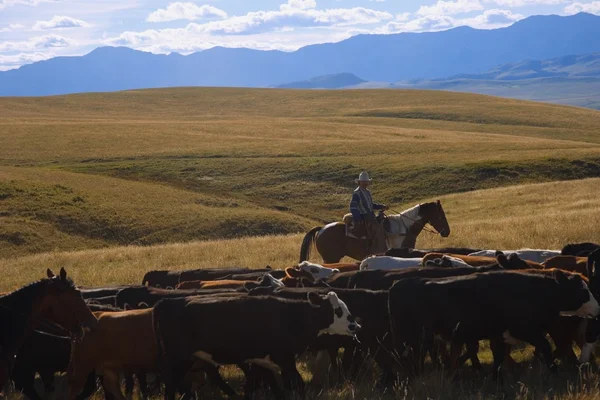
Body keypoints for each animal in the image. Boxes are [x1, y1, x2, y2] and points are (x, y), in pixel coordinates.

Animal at [155, 292, 360, 398]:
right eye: (338, 310)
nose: (355, 326)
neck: (291, 315)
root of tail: (166, 302)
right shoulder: (284, 358)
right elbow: (297, 383)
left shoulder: (262, 361)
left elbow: (263, 386)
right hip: (179, 358)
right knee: (171, 384)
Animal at [386, 268, 596, 378]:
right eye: (583, 291)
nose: (597, 308)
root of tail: (396, 285)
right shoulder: (524, 329)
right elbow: (544, 346)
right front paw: (553, 369)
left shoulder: (499, 334)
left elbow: (498, 356)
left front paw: (496, 376)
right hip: (414, 336)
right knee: (412, 356)